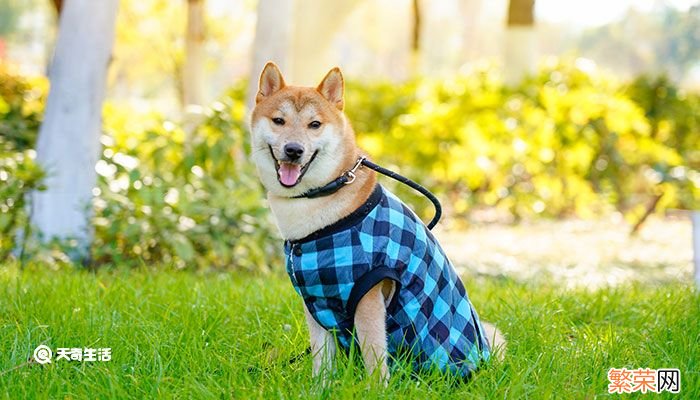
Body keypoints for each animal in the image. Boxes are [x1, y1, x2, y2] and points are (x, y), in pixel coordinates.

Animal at [249, 62, 506, 384]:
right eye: (279, 121)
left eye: (315, 125)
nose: (294, 149)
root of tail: (482, 357)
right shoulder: (315, 295)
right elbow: (322, 359)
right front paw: (320, 389)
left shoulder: (368, 292)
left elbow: (374, 354)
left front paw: (374, 388)